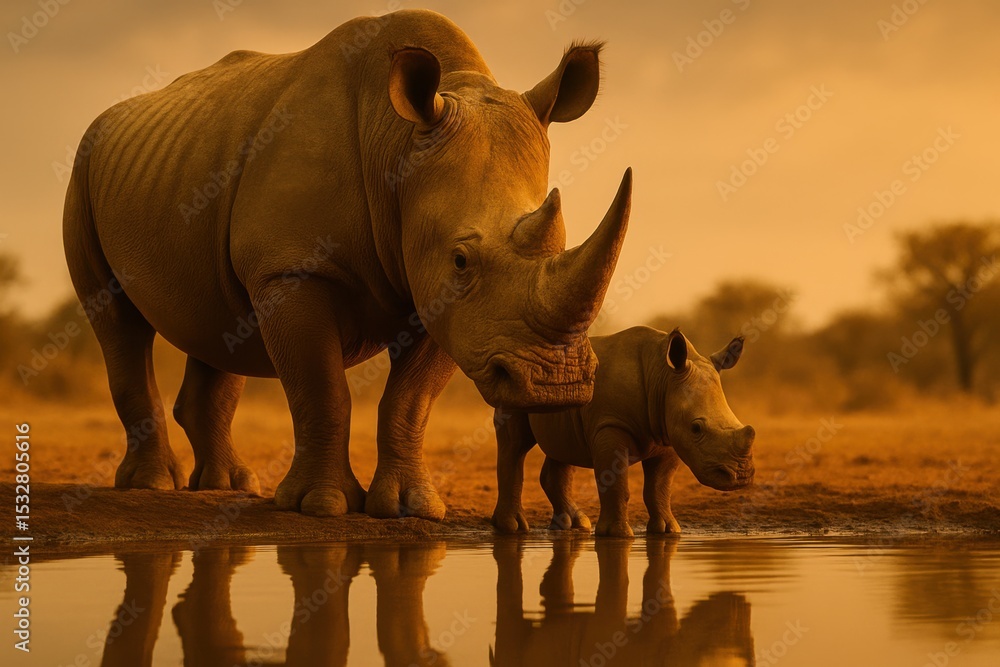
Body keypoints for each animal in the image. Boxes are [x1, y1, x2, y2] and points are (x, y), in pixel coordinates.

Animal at [63, 9, 632, 518]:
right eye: (461, 259)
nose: (556, 386)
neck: (398, 144)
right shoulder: (294, 269)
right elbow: (323, 388)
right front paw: (322, 506)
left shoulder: (438, 298)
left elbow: (410, 400)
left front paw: (410, 509)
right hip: (84, 168)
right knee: (117, 320)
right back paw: (153, 485)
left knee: (218, 321)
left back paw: (228, 485)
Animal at [492, 327, 755, 537]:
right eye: (696, 428)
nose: (741, 477)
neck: (662, 376)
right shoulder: (611, 425)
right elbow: (616, 482)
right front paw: (616, 535)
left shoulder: (668, 433)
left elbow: (659, 487)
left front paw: (668, 531)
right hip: (516, 381)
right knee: (515, 445)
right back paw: (512, 528)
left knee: (563, 449)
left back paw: (575, 525)